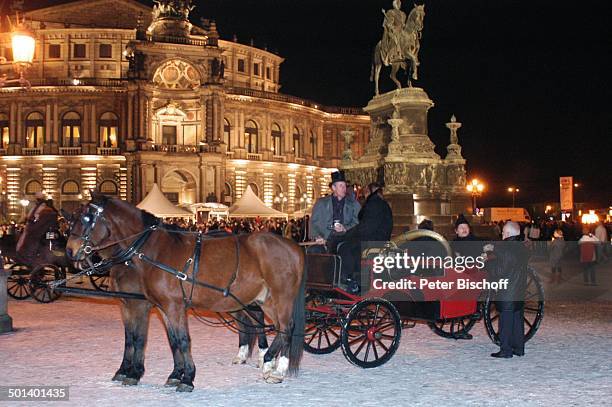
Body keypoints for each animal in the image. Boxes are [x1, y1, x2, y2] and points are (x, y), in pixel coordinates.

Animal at [63, 196, 304, 394]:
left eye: (87, 219)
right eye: (72, 220)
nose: (69, 251)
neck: (153, 252)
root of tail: (292, 246)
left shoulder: (163, 306)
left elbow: (175, 340)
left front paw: (185, 377)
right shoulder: (155, 307)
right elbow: (168, 341)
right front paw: (173, 374)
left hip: (281, 297)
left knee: (286, 328)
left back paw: (272, 365)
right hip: (266, 300)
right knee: (278, 327)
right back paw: (272, 364)